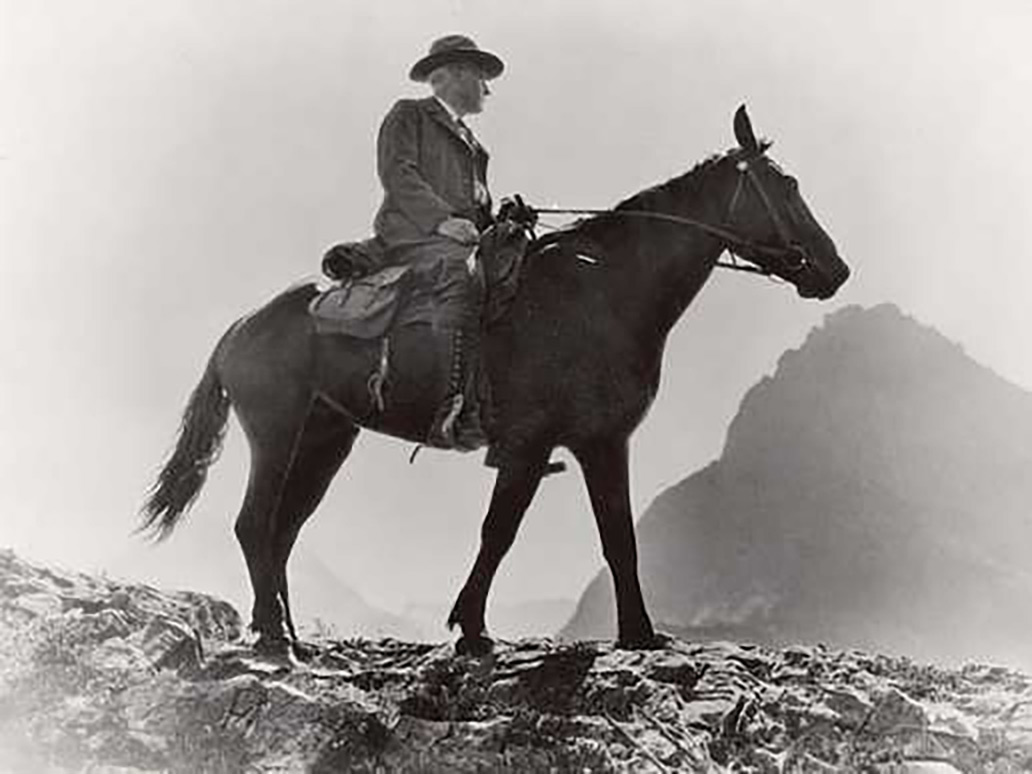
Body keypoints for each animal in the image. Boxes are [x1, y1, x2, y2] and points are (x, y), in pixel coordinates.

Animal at [137, 106, 846, 656]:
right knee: (255, 524)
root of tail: (240, 327)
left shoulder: (602, 443)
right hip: (279, 436)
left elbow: (618, 538)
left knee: (282, 529)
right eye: (785, 184)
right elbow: (499, 532)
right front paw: (472, 629)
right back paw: (273, 638)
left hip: (324, 439)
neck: (605, 292)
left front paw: (641, 635)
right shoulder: (531, 446)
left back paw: (285, 631)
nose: (834, 270)